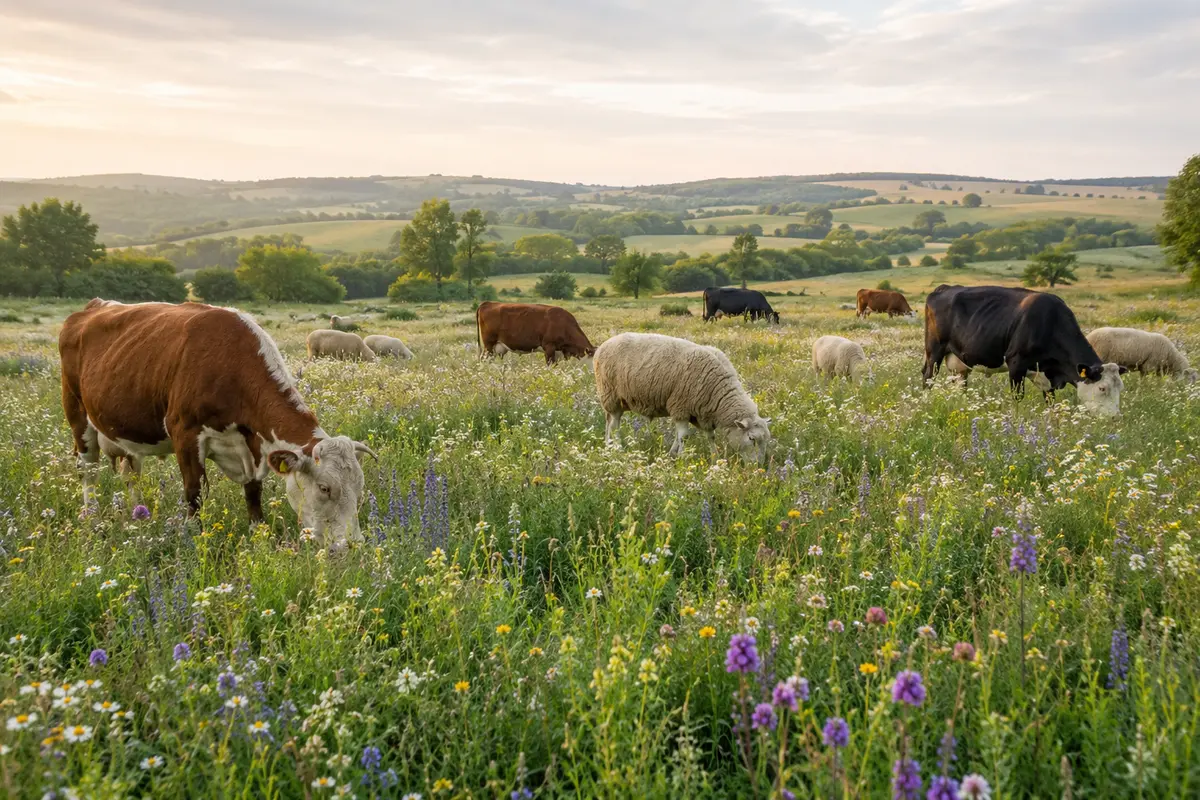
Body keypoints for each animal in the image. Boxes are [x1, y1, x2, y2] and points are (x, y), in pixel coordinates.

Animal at [59, 299, 378, 544]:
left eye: (359, 487)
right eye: (325, 488)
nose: (352, 545)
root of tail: (94, 306)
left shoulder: (251, 444)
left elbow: (253, 492)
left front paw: (258, 535)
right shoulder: (185, 434)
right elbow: (194, 494)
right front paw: (194, 540)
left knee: (131, 473)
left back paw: (139, 514)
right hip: (77, 414)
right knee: (88, 471)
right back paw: (93, 519)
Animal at [593, 332, 771, 462]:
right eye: (751, 438)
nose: (759, 466)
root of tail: (603, 345)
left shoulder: (702, 414)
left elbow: (709, 436)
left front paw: (715, 458)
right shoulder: (680, 407)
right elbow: (683, 437)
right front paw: (681, 459)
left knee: (608, 422)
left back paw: (607, 446)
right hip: (611, 396)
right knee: (614, 425)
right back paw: (618, 448)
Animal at [921, 285, 1126, 403]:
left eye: (1120, 388)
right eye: (1102, 388)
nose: (1113, 418)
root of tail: (944, 288)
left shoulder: (1048, 375)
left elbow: (1050, 402)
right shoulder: (1016, 364)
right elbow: (1017, 398)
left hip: (958, 361)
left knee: (960, 383)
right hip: (935, 350)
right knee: (928, 377)